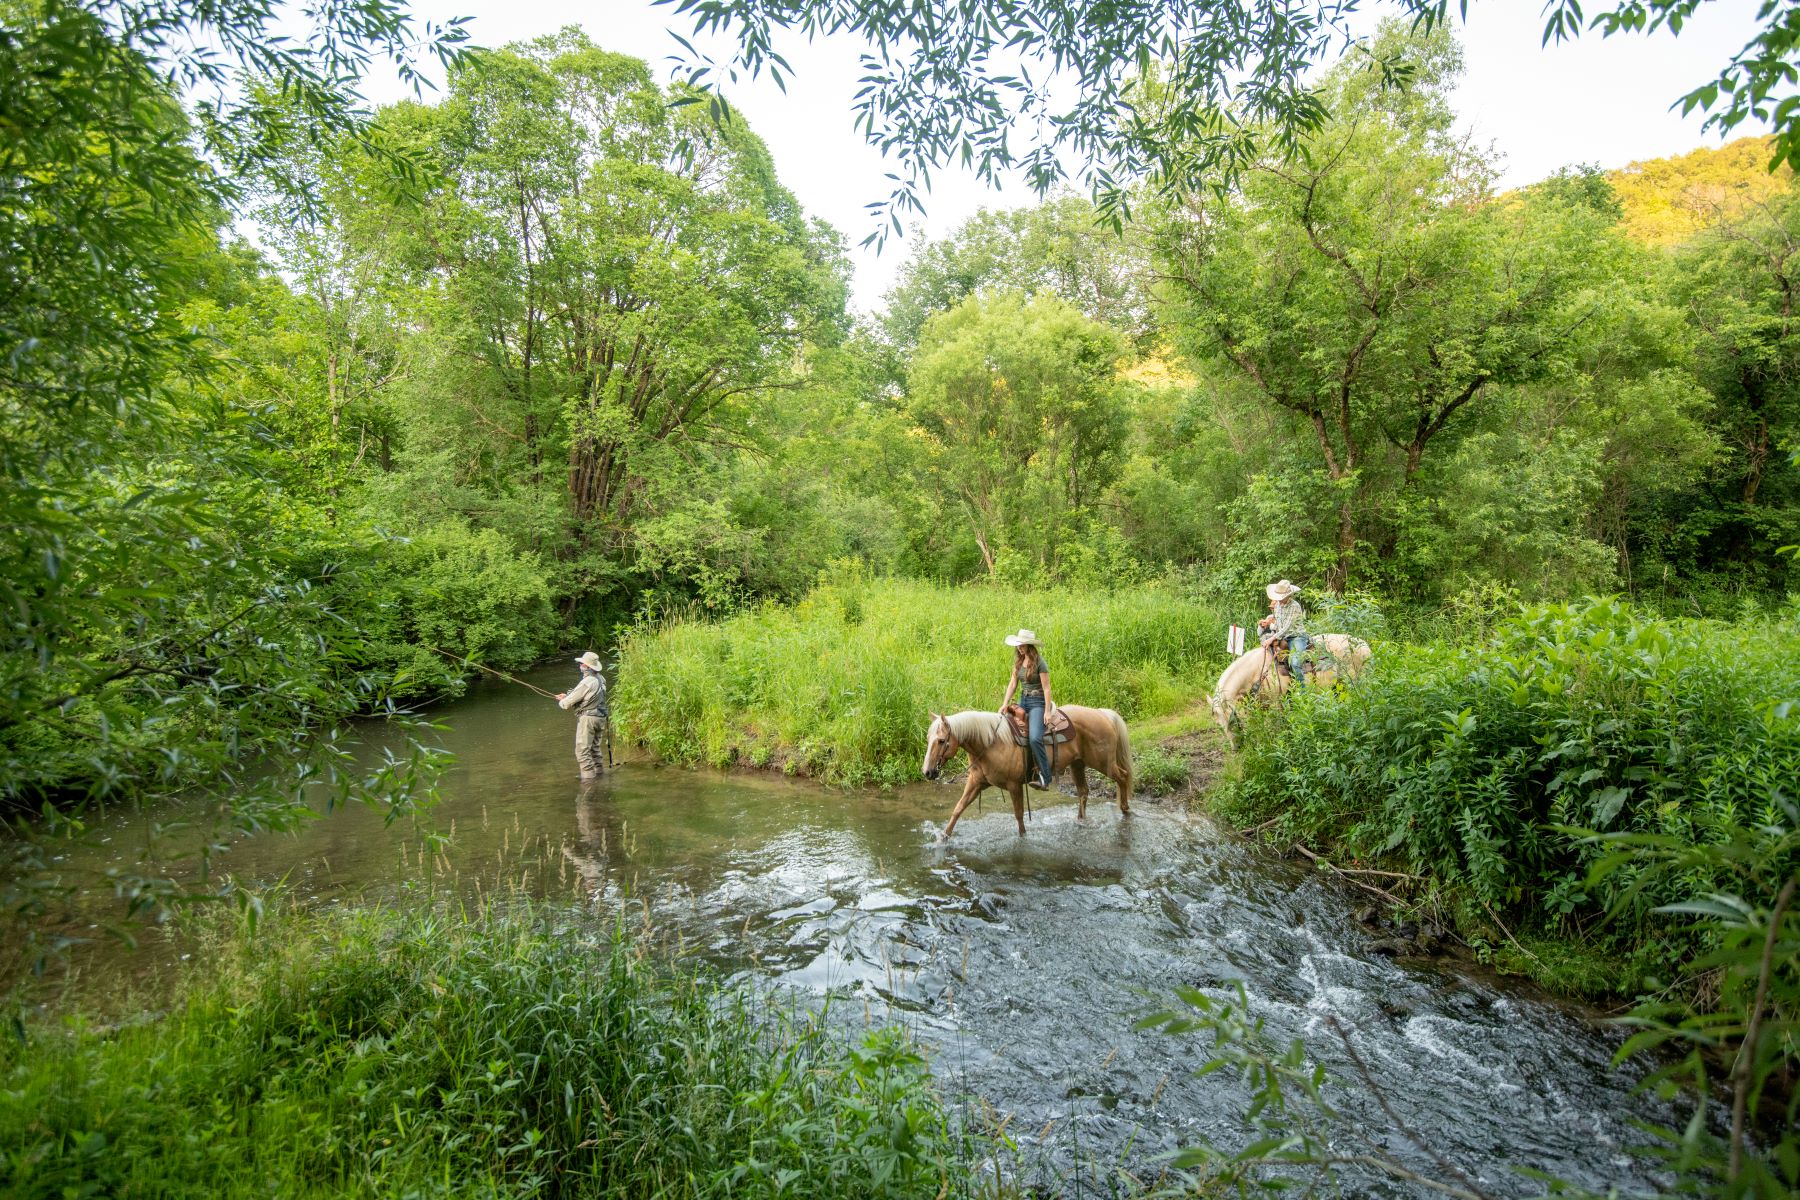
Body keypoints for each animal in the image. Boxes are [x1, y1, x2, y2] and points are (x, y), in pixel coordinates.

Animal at [921, 708, 1130, 841]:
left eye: (941, 741)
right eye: (928, 738)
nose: (927, 772)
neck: (990, 744)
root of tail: (1102, 713)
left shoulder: (1014, 785)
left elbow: (1019, 816)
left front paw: (1023, 840)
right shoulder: (976, 782)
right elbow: (958, 808)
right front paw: (944, 837)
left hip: (1103, 763)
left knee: (1123, 776)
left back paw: (1125, 810)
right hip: (1077, 764)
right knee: (1083, 792)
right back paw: (1080, 821)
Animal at [1209, 633, 1375, 744]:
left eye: (1231, 721)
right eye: (1218, 725)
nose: (1236, 748)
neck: (1259, 671)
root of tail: (1364, 645)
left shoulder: (1276, 703)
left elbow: (1275, 726)